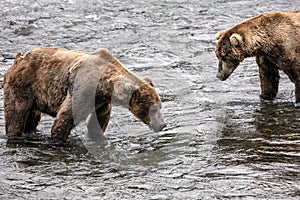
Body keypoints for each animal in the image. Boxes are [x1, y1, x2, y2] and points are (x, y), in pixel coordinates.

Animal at [2, 47, 166, 144]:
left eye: (160, 106)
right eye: (153, 108)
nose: (162, 125)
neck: (105, 85)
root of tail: (18, 60)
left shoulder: (101, 101)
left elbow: (98, 121)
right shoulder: (83, 90)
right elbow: (65, 117)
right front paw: (58, 140)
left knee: (31, 119)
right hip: (23, 86)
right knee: (16, 115)